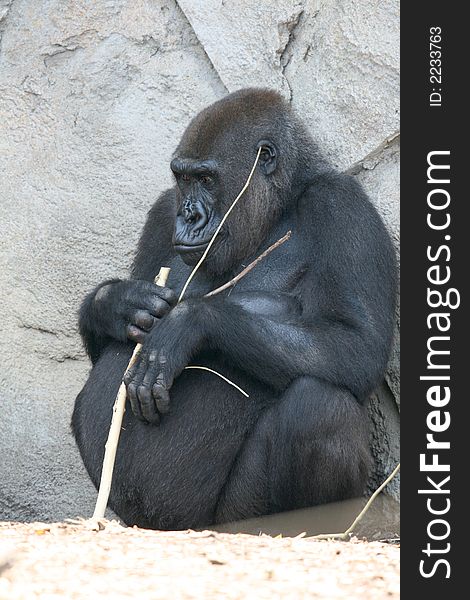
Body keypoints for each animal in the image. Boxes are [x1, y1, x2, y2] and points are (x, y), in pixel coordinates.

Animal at [72, 86, 396, 528]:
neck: (281, 204)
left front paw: (190, 323)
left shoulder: (342, 205)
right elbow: (111, 343)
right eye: (183, 178)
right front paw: (116, 303)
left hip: (230, 518)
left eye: (207, 180)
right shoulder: (162, 211)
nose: (188, 217)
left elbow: (358, 346)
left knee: (319, 406)